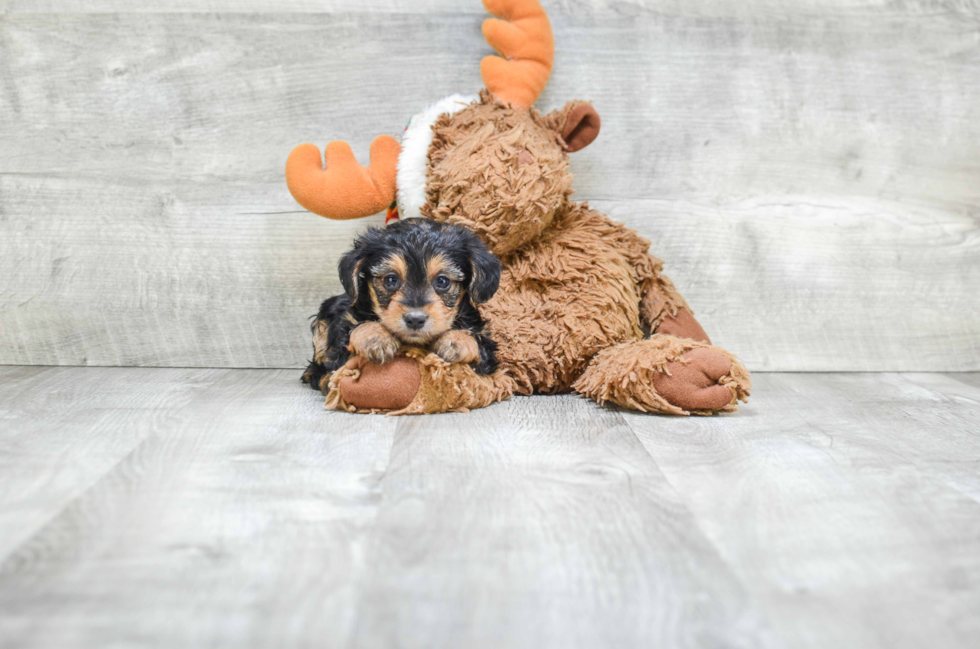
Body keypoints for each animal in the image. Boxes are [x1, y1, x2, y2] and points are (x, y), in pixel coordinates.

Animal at [300, 218, 502, 392]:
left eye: (442, 281)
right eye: (391, 280)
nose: (415, 319)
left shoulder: (487, 348)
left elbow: (479, 343)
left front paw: (456, 341)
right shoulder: (343, 339)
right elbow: (352, 335)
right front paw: (376, 337)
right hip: (323, 320)